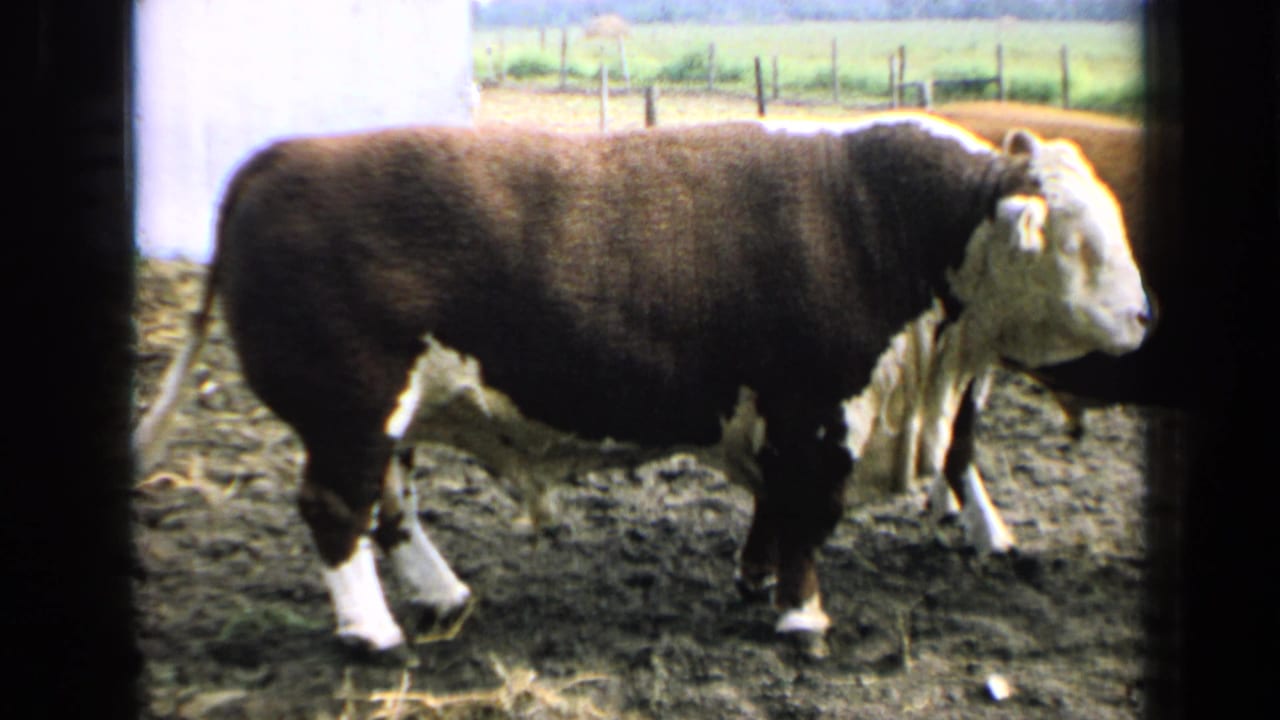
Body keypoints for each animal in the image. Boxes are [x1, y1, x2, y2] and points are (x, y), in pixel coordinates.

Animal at [133, 112, 1151, 657]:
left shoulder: (778, 416)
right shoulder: (818, 412)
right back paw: (373, 634)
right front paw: (801, 617)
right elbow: (805, 520)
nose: (1147, 317)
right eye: (1082, 239)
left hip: (392, 417)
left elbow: (772, 510)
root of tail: (283, 156)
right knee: (336, 511)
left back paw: (441, 594)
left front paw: (755, 579)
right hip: (349, 409)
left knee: (392, 507)